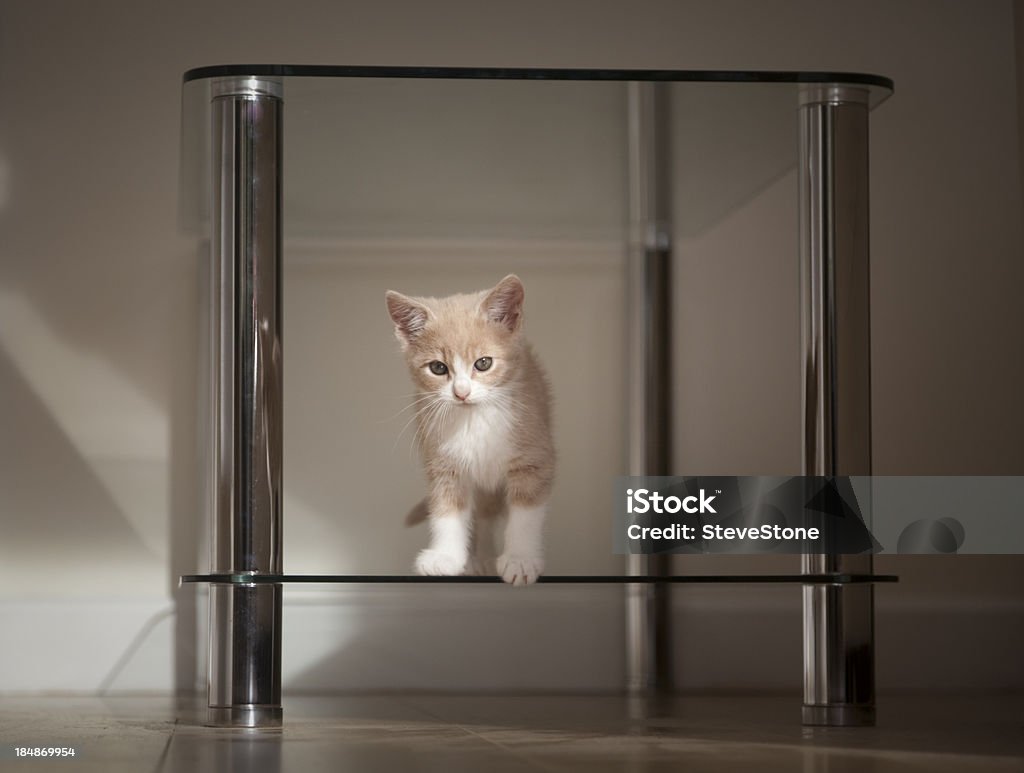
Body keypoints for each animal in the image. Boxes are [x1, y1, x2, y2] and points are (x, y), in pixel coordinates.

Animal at [385, 274, 561, 581]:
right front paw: (446, 557)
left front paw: (520, 559)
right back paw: (479, 560)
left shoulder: (534, 457)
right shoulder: (442, 464)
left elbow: (526, 512)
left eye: (483, 363)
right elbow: (447, 510)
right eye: (438, 368)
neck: (474, 419)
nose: (461, 392)